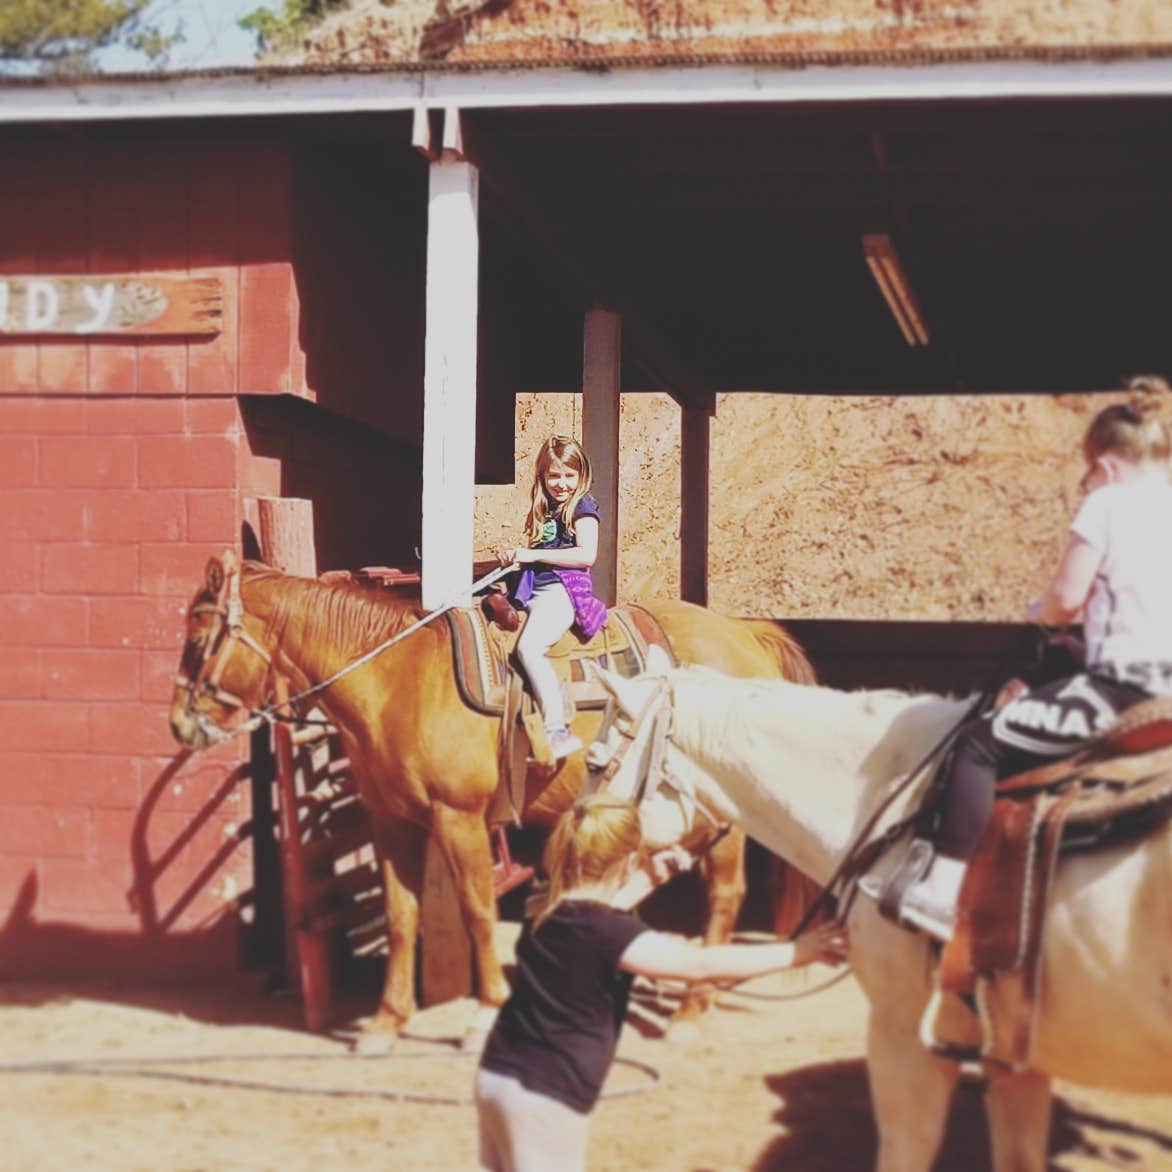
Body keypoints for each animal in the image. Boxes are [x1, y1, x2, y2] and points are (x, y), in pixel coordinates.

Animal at [167, 551, 816, 1043]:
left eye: (197, 638)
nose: (178, 724)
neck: (397, 680)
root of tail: (745, 634)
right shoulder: (390, 822)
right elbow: (401, 916)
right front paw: (386, 1021)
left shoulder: (459, 820)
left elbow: (477, 910)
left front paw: (484, 1013)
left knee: (725, 895)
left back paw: (690, 1010)